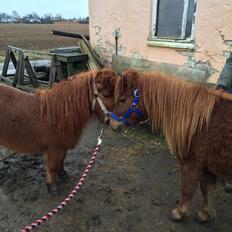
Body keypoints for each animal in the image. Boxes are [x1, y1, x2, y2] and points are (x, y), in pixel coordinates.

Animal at [109, 69, 232, 223]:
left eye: (122, 100)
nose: (111, 123)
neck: (200, 123)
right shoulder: (207, 167)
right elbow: (207, 189)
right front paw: (206, 214)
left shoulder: (192, 164)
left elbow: (187, 188)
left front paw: (180, 212)